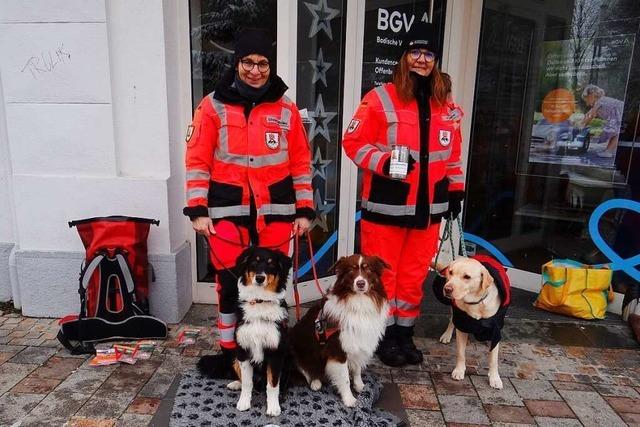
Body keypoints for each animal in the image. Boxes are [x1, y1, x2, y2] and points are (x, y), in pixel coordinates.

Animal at [288, 254, 388, 408]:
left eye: (368, 270)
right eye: (351, 271)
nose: (360, 283)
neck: (358, 301)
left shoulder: (357, 341)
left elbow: (357, 368)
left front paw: (359, 386)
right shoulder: (338, 349)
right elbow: (345, 377)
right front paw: (349, 399)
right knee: (306, 370)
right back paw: (315, 382)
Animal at [436, 256, 510, 390]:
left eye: (467, 277)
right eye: (451, 272)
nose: (447, 289)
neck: (476, 303)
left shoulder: (496, 331)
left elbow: (494, 359)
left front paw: (495, 378)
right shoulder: (462, 325)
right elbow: (461, 353)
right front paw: (459, 371)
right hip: (454, 309)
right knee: (451, 320)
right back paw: (446, 335)